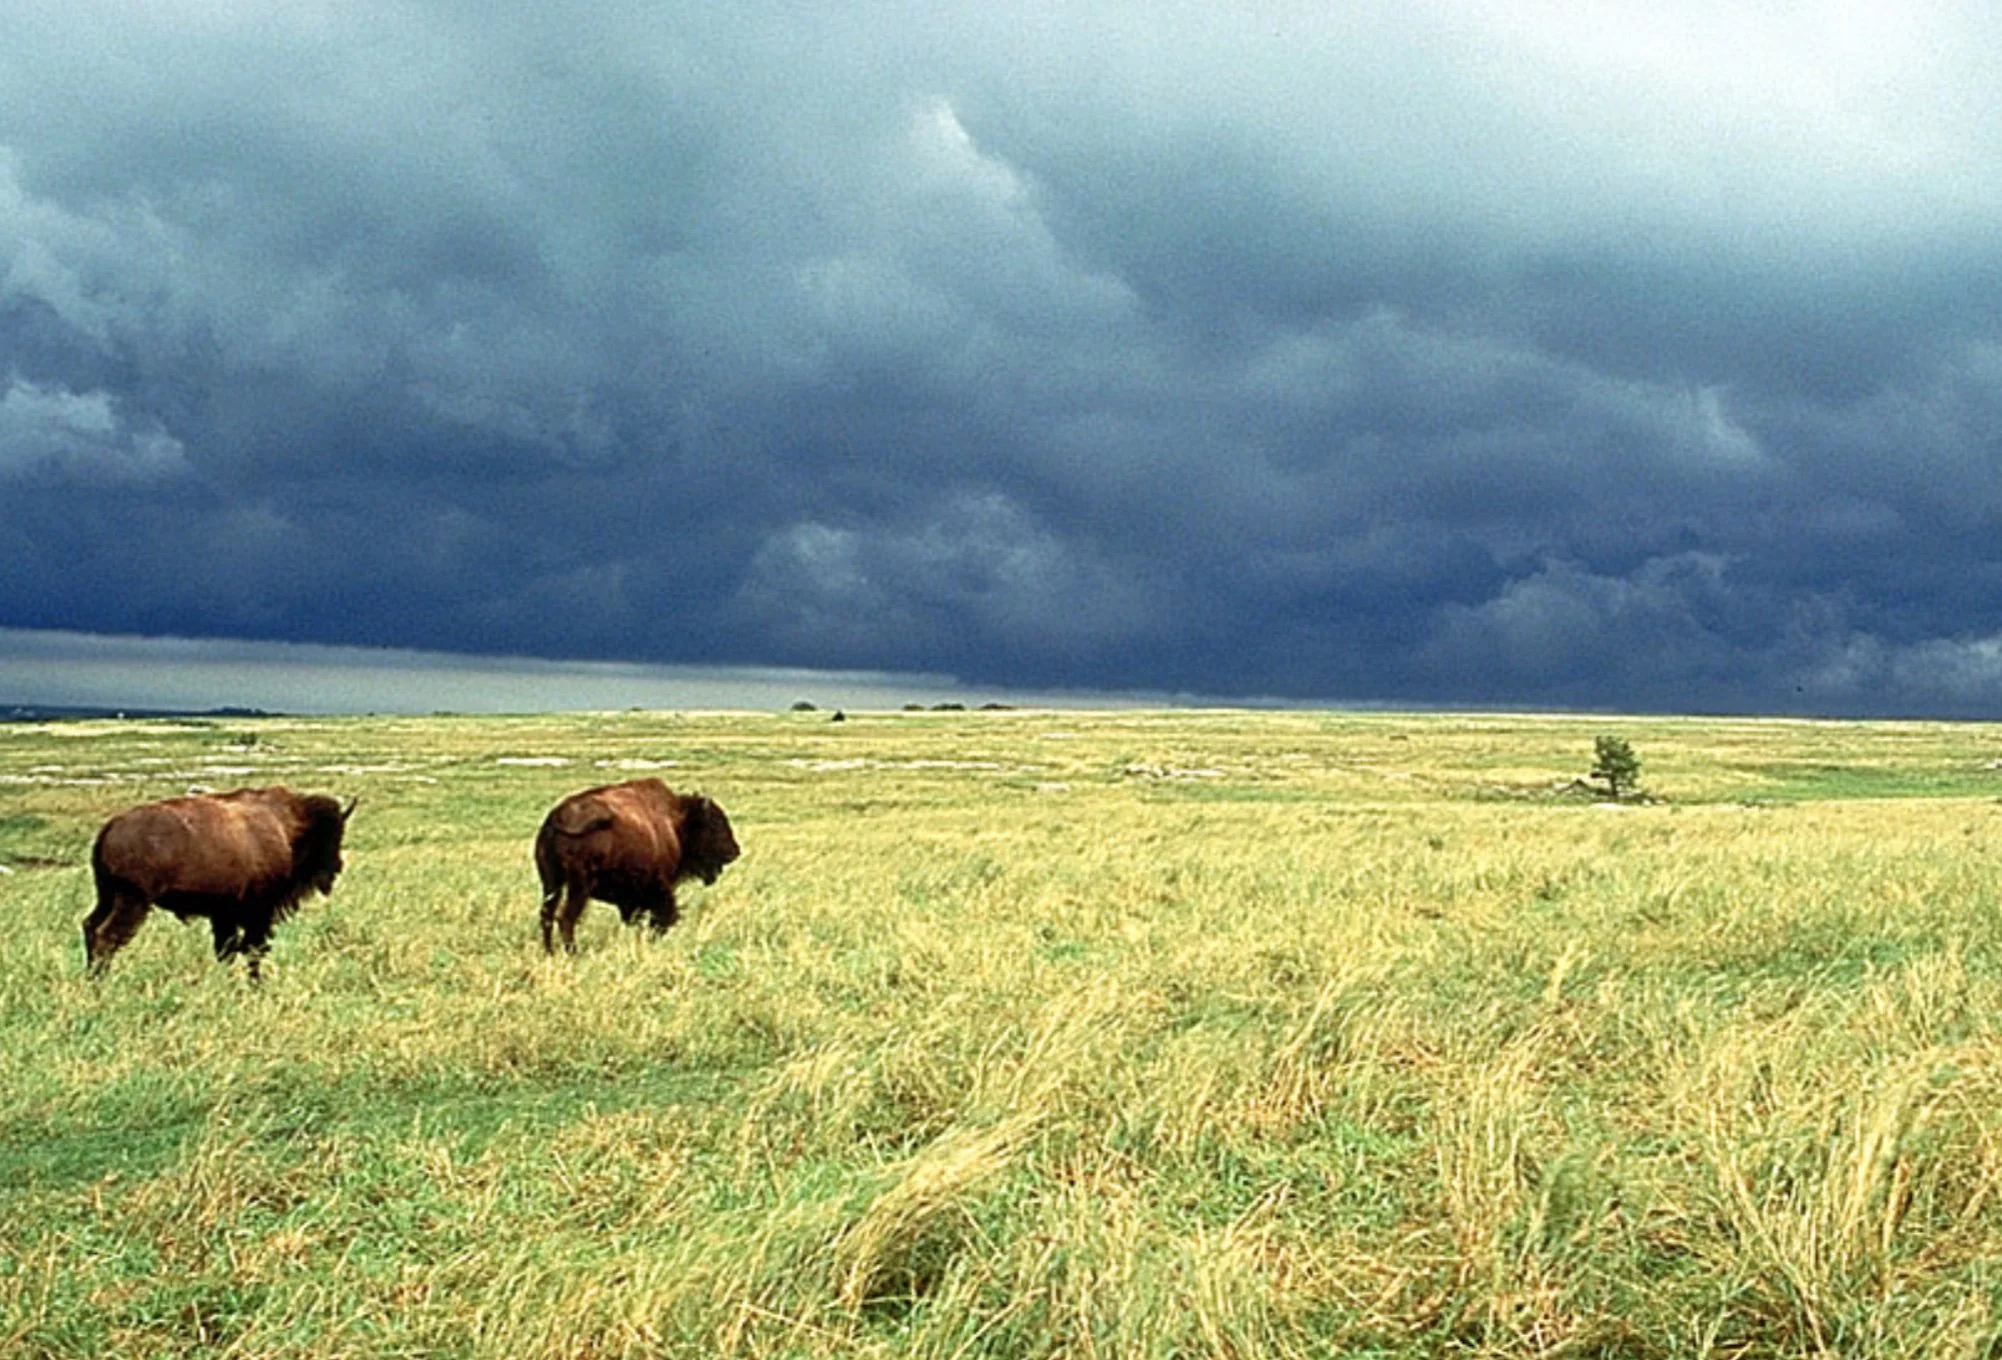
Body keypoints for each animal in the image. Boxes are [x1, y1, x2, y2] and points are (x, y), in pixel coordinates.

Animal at [84, 787, 355, 980]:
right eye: (332, 834)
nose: (337, 866)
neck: (286, 827)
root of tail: (110, 827)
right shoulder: (258, 912)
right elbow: (252, 949)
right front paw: (255, 985)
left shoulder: (224, 914)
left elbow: (227, 950)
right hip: (133, 901)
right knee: (107, 936)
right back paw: (101, 982)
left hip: (107, 895)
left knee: (90, 925)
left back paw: (90, 979)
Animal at [535, 778, 740, 954]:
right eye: (714, 824)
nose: (734, 851)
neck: (675, 821)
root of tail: (558, 816)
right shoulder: (659, 889)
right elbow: (661, 916)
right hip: (579, 887)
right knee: (566, 918)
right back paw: (573, 953)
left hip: (551, 883)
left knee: (547, 915)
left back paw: (549, 952)